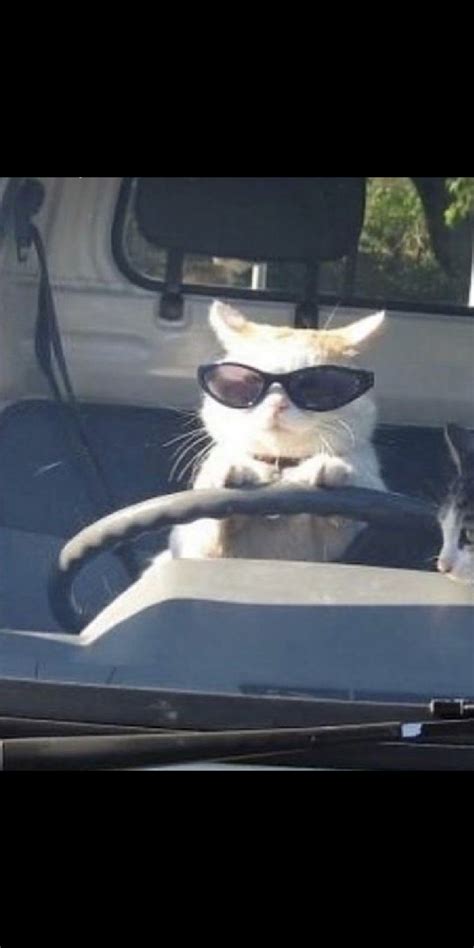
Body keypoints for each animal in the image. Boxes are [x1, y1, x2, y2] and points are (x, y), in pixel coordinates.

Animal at [151, 304, 386, 568]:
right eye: (245, 382)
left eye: (316, 386)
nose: (277, 403)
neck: (280, 467)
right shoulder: (195, 546)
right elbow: (212, 527)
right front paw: (233, 472)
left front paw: (328, 469)